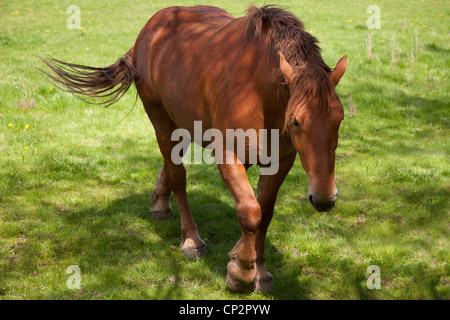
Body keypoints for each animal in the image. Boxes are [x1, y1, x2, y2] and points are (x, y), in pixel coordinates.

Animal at [40, 5, 346, 292]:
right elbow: (250, 212)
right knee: (177, 176)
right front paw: (241, 273)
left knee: (170, 167)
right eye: (296, 121)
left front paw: (257, 269)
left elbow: (265, 212)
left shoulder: (281, 160)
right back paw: (190, 240)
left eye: (340, 118)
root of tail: (149, 30)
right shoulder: (227, 155)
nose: (324, 198)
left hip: (184, 123)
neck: (258, 89)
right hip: (162, 121)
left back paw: (160, 203)